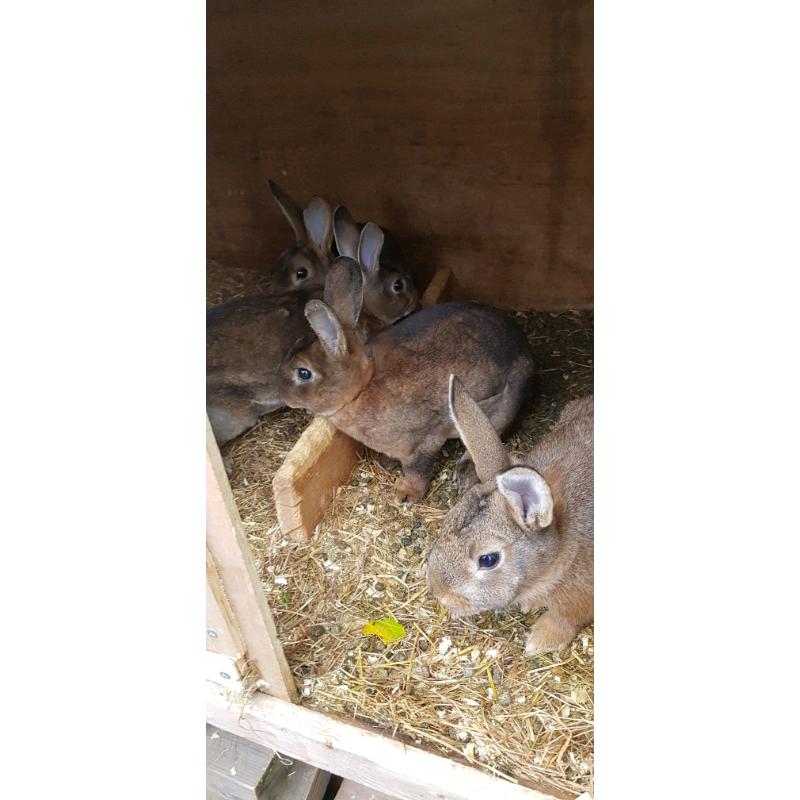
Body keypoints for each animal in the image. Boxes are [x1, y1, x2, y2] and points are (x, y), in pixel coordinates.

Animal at [278, 259, 535, 503]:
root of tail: (525, 347)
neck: (362, 388)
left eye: (303, 373)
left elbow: (417, 471)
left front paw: (405, 495)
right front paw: (387, 463)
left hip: (501, 405)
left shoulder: (422, 443)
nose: (283, 396)